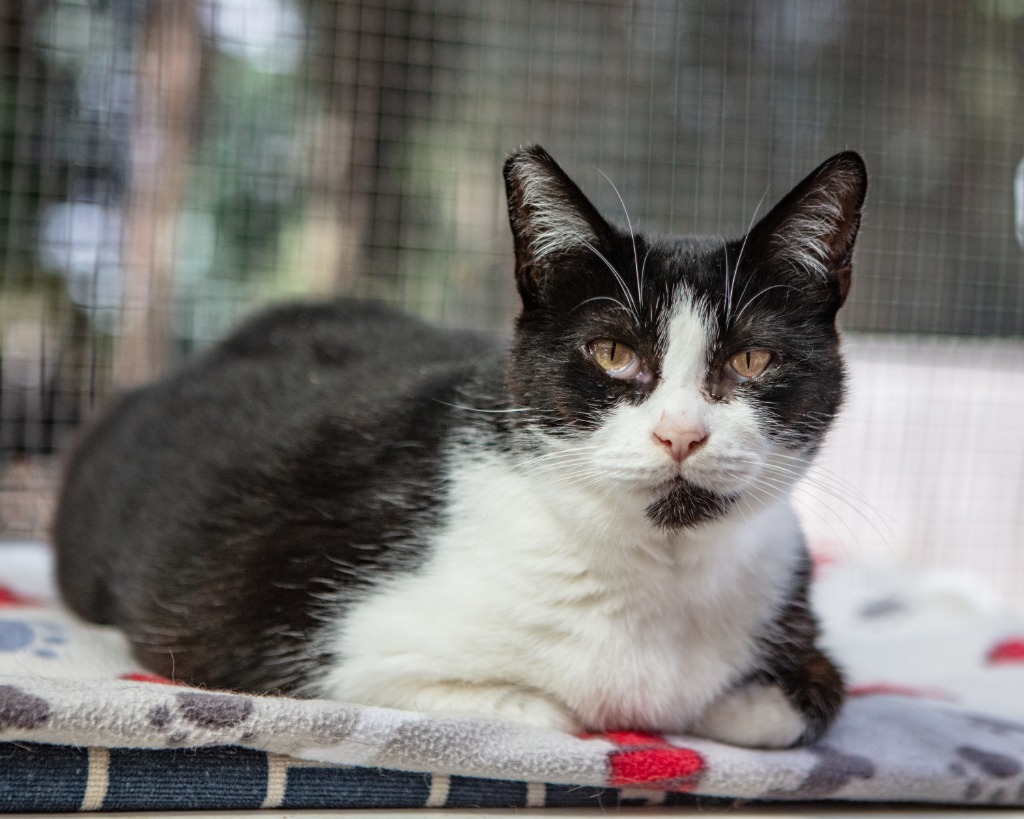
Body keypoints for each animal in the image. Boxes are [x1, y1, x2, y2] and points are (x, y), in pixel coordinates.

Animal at [51, 145, 868, 749]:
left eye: (753, 361)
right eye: (611, 352)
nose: (681, 433)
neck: (658, 570)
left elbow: (800, 700)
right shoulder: (310, 638)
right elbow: (544, 711)